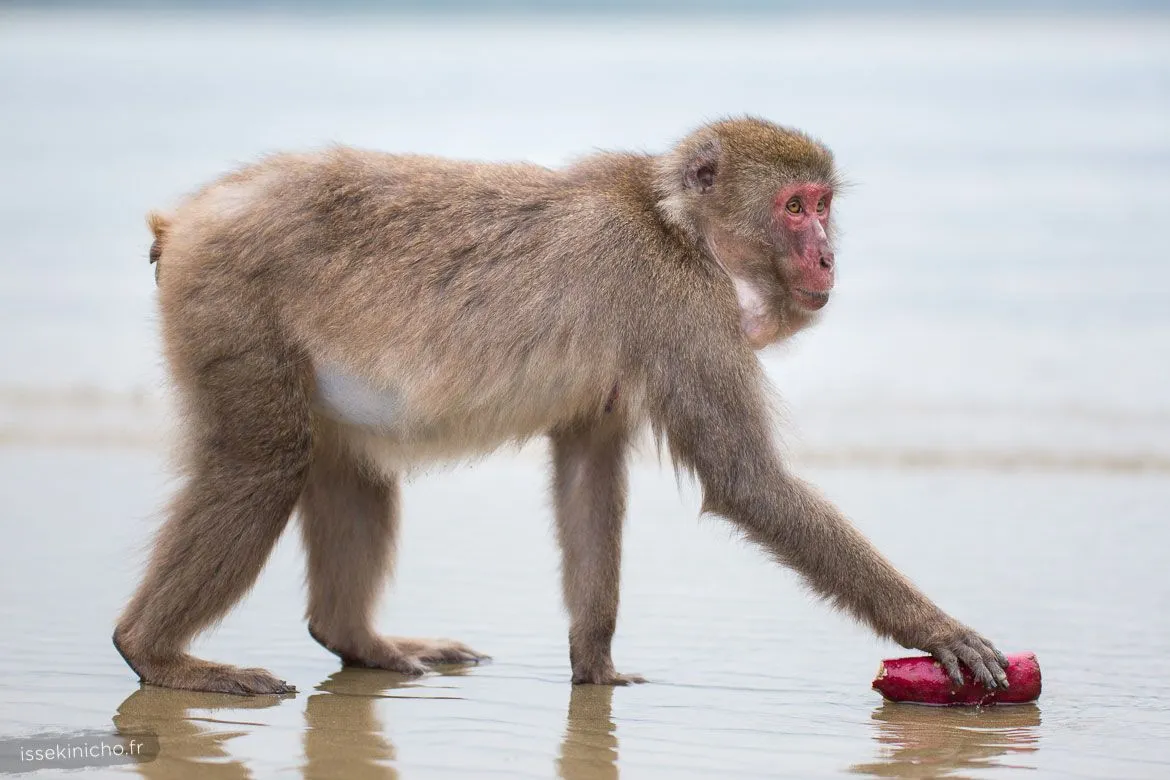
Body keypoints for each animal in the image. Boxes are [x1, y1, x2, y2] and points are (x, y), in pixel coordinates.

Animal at [113, 117, 1010, 696]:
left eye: (824, 204)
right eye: (795, 208)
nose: (827, 254)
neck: (677, 228)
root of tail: (190, 217)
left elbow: (588, 473)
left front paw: (595, 662)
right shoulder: (683, 309)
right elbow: (746, 482)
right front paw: (935, 629)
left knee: (347, 462)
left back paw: (356, 639)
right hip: (228, 300)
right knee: (265, 462)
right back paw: (154, 653)